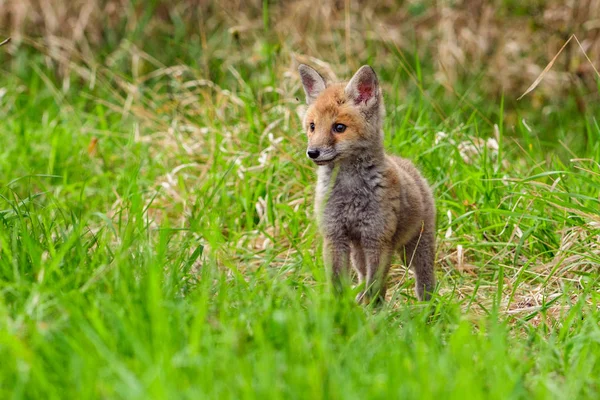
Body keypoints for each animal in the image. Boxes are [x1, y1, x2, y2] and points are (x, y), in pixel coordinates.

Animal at [298, 64, 436, 302]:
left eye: (339, 127)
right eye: (312, 126)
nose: (312, 152)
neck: (349, 190)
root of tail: (409, 164)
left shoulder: (378, 239)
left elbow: (376, 287)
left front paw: (373, 310)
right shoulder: (335, 236)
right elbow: (338, 283)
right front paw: (338, 307)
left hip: (416, 248)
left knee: (425, 281)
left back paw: (429, 308)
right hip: (358, 253)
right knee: (363, 277)